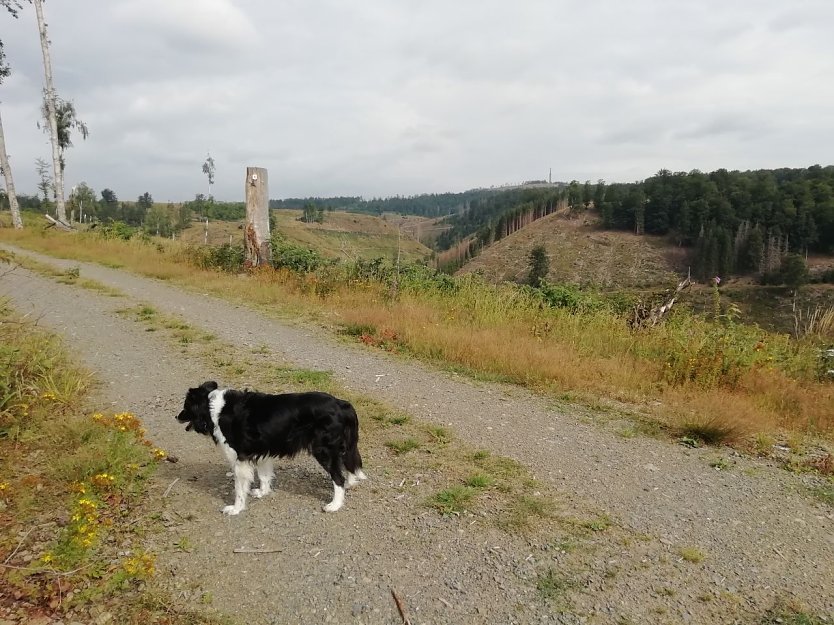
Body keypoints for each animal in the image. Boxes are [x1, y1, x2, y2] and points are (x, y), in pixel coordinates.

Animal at [176, 380, 364, 512]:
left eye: (186, 406)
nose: (176, 417)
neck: (213, 407)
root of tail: (342, 404)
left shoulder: (240, 458)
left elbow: (239, 488)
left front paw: (236, 509)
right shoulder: (261, 449)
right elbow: (264, 475)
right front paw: (262, 492)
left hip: (323, 450)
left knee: (338, 478)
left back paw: (334, 505)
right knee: (348, 466)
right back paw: (350, 484)